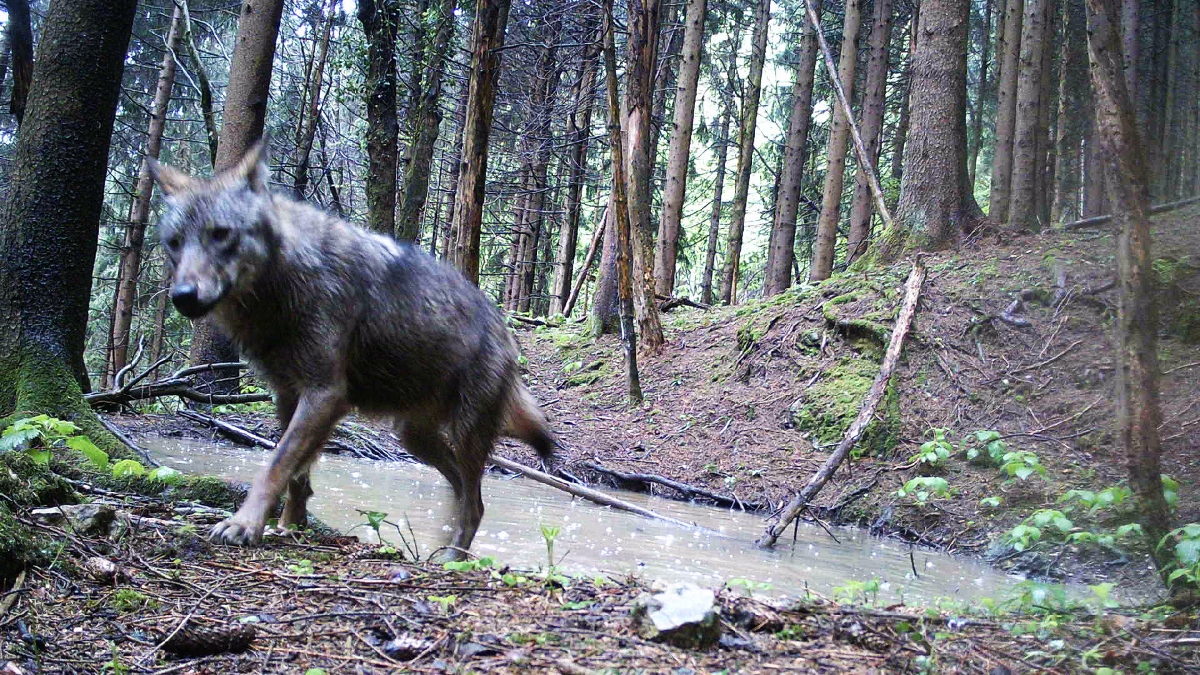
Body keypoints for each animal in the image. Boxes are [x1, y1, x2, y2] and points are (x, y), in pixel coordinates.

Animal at [147, 140, 554, 557]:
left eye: (220, 234)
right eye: (174, 243)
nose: (183, 296)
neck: (280, 287)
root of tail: (505, 330)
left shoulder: (326, 394)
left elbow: (276, 464)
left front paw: (244, 524)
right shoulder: (288, 394)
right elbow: (296, 472)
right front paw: (289, 526)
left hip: (465, 434)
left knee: (476, 504)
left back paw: (453, 559)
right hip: (415, 439)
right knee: (461, 494)